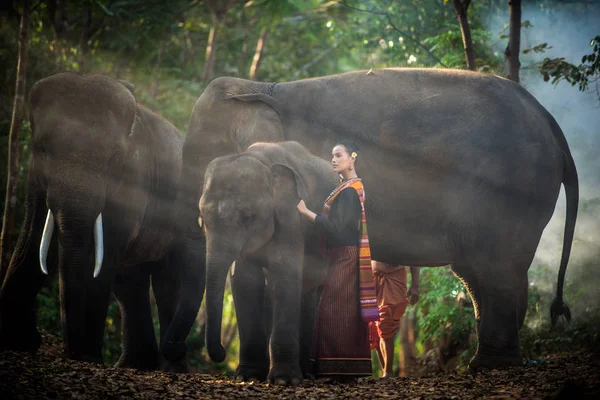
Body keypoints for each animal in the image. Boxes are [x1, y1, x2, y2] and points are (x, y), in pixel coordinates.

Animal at [0, 72, 205, 372]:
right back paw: (135, 365)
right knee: (131, 282)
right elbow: (33, 236)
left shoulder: (134, 183)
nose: (70, 353)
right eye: (42, 150)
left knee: (167, 281)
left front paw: (88, 357)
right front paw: (17, 341)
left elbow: (102, 258)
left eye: (115, 160)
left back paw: (170, 367)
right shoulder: (35, 177)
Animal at [200, 140, 338, 384]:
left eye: (247, 217)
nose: (222, 353)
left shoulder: (291, 217)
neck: (260, 159)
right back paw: (307, 373)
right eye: (203, 220)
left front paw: (283, 381)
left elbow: (284, 275)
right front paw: (248, 375)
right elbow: (245, 281)